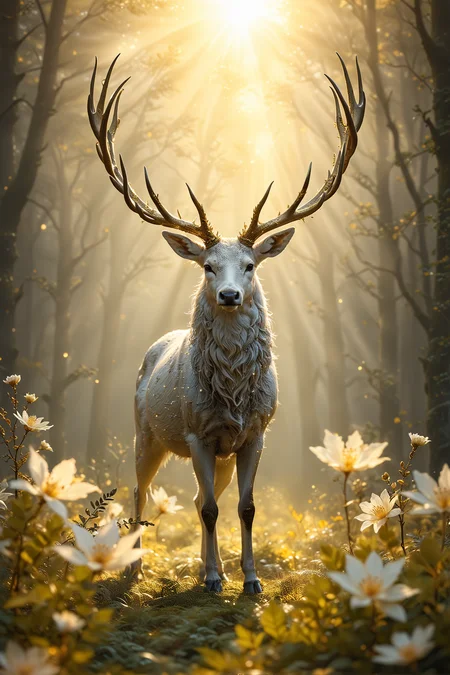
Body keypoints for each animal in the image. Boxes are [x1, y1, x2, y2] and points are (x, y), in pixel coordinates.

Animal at [88, 53, 365, 593]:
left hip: (214, 453)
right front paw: (218, 579)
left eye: (251, 265)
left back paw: (201, 566)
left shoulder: (254, 433)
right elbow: (213, 510)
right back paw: (138, 569)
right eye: (208, 266)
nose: (231, 295)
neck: (234, 394)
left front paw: (249, 579)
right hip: (144, 431)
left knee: (199, 499)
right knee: (141, 493)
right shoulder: (199, 433)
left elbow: (244, 507)